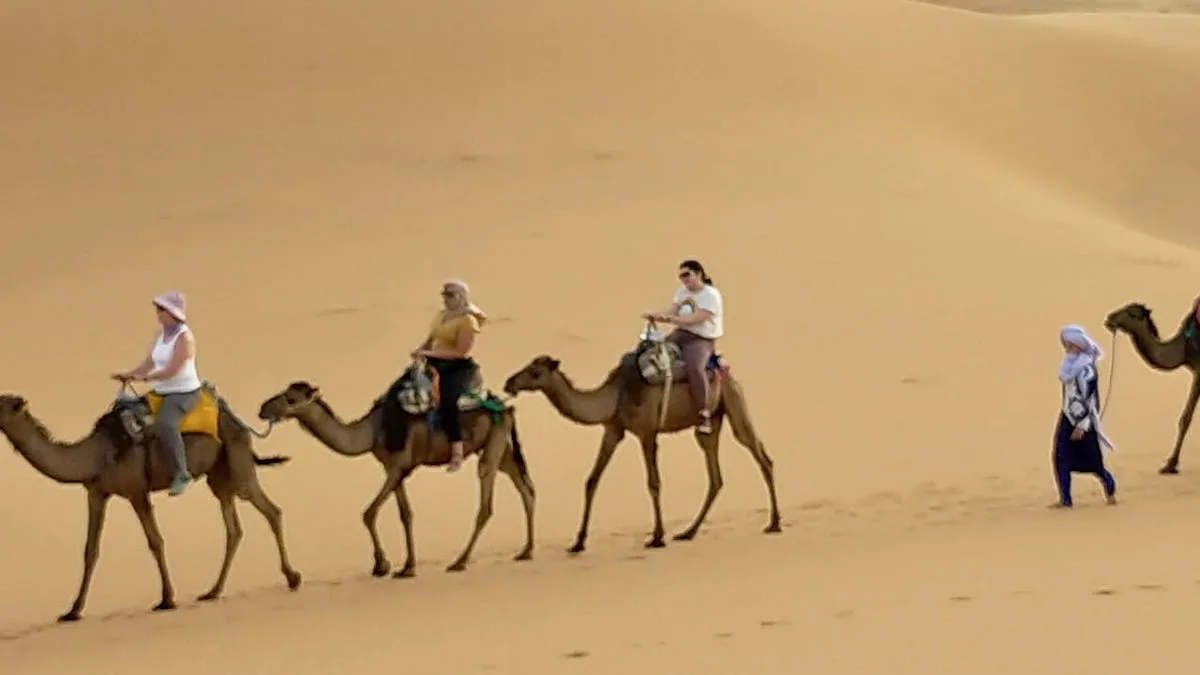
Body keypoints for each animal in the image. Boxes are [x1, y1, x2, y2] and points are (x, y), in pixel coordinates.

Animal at [0, 389, 302, 623]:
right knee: (234, 528)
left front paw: (167, 599)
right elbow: (90, 550)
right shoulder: (96, 493)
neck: (96, 453)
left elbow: (155, 541)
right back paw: (212, 591)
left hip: (238, 464)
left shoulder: (136, 491)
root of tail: (241, 423)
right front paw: (73, 611)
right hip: (219, 476)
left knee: (271, 511)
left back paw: (292, 577)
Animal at [256, 378, 535, 577]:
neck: (370, 431)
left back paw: (460, 561)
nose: (263, 408)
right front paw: (407, 567)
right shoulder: (394, 468)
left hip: (493, 444)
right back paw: (526, 550)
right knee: (525, 488)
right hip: (500, 445)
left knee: (486, 500)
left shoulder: (397, 466)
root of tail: (506, 408)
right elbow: (405, 515)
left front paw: (382, 565)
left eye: (291, 399)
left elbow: (369, 513)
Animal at [501, 348, 781, 553]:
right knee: (716, 476)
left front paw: (657, 537)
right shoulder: (613, 429)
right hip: (710, 422)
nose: (509, 382)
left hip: (733, 402)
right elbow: (592, 480)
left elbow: (653, 483)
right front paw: (578, 542)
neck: (615, 395)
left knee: (761, 456)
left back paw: (774, 523)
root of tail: (725, 370)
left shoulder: (646, 433)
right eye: (528, 365)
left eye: (535, 372)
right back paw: (688, 532)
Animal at [1104, 301, 1200, 474]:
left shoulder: (1199, 370)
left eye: (1131, 314)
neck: (1184, 347)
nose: (1109, 318)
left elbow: (1185, 418)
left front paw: (1170, 465)